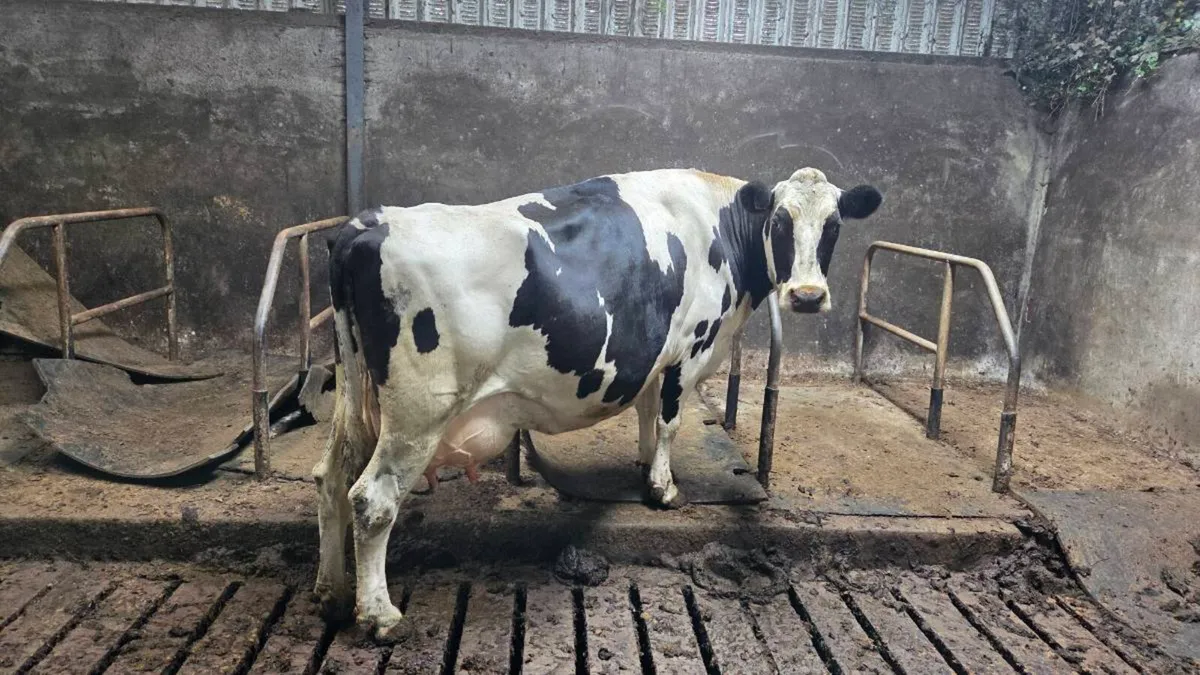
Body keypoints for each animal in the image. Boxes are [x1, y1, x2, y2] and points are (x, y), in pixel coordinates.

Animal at [312, 167, 882, 640]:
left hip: (356, 396)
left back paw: (332, 596)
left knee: (333, 475)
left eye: (833, 226)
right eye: (781, 222)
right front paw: (664, 489)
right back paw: (380, 615)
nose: (807, 296)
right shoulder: (688, 349)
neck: (720, 225)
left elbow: (649, 414)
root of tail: (366, 224)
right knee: (372, 498)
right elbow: (671, 421)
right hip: (419, 411)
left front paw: (646, 466)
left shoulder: (656, 356)